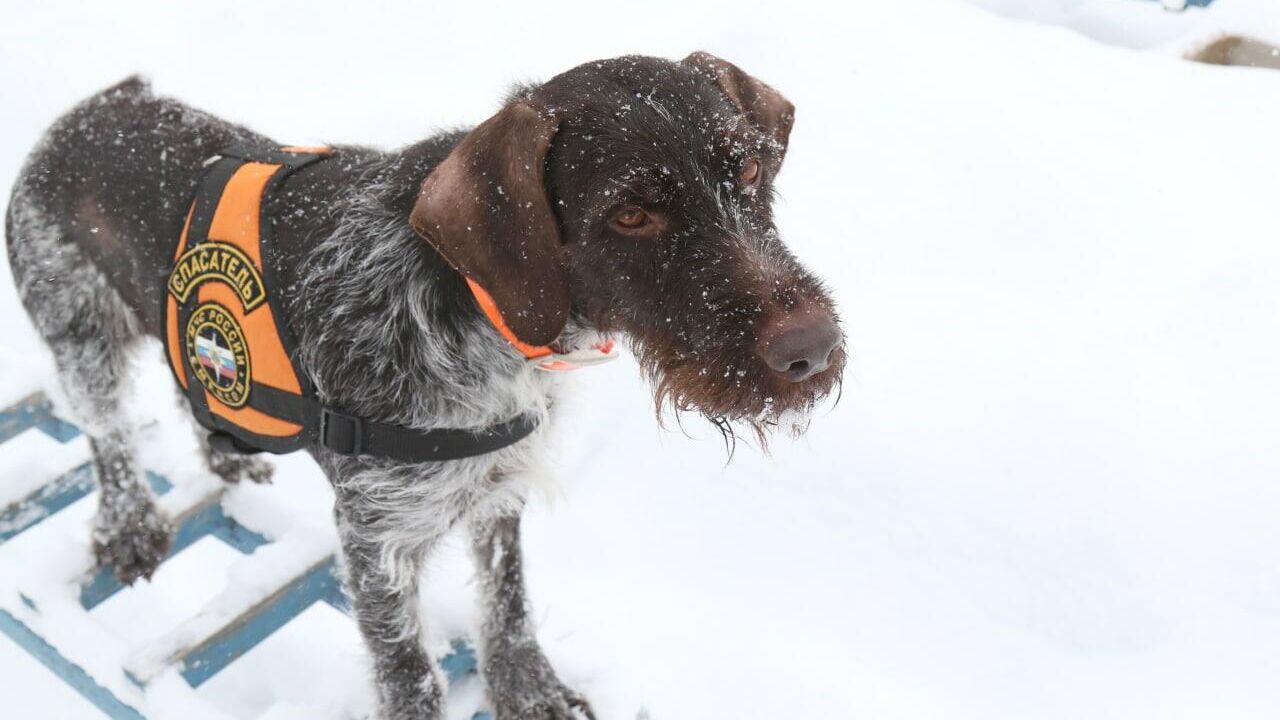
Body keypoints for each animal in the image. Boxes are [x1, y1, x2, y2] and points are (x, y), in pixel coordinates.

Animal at [12, 53, 849, 712]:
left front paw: (529, 693)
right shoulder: (376, 533)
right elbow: (406, 666)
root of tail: (88, 111)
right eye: (631, 214)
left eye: (747, 169)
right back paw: (129, 523)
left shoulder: (497, 483)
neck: (479, 305)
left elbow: (508, 605)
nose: (812, 350)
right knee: (107, 435)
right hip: (78, 334)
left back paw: (223, 453)